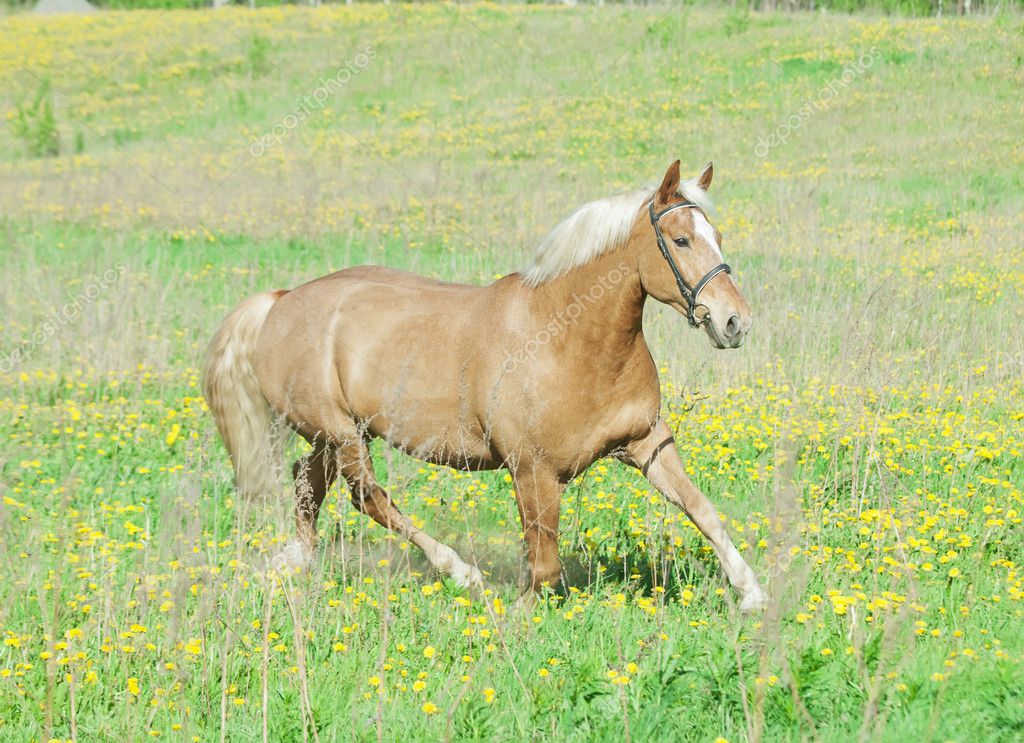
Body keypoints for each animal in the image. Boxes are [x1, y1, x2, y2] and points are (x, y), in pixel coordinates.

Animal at [203, 161, 770, 609]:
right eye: (680, 240)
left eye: (718, 237)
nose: (735, 322)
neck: (569, 341)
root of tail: (281, 300)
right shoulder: (532, 470)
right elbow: (544, 567)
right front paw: (516, 616)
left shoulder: (647, 441)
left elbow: (703, 510)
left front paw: (752, 594)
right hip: (340, 433)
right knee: (369, 498)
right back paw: (461, 573)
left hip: (333, 433)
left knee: (308, 483)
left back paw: (295, 561)